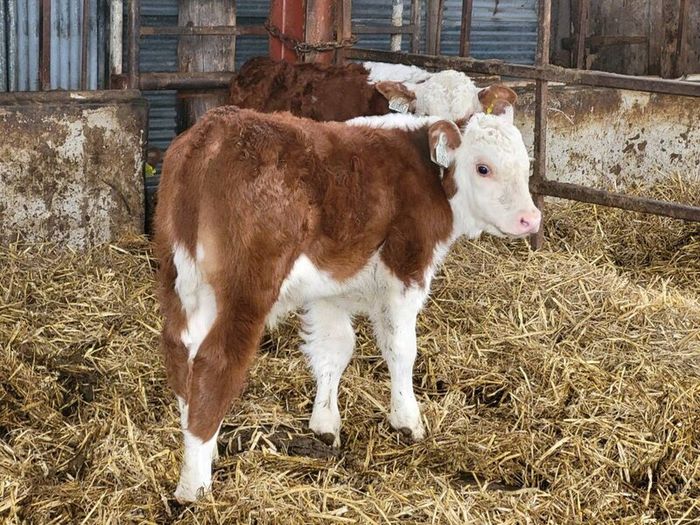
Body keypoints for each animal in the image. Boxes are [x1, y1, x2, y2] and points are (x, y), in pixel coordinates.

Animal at [154, 102, 540, 503]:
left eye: (525, 166)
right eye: (483, 168)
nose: (531, 219)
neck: (425, 172)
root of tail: (216, 129)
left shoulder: (330, 288)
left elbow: (334, 349)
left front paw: (325, 424)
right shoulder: (406, 267)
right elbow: (401, 348)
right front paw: (407, 420)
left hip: (182, 279)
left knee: (182, 351)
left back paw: (204, 444)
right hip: (247, 288)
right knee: (216, 362)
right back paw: (194, 484)